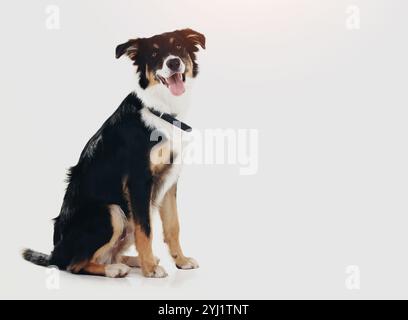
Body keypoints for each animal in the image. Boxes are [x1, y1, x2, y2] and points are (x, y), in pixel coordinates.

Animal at [23, 28, 206, 278]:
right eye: (154, 54)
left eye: (178, 47)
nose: (174, 62)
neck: (161, 111)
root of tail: (54, 254)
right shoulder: (139, 180)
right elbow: (145, 229)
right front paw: (151, 270)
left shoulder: (170, 179)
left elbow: (172, 225)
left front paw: (181, 261)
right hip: (113, 212)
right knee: (74, 264)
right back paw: (115, 269)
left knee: (109, 253)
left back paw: (132, 261)